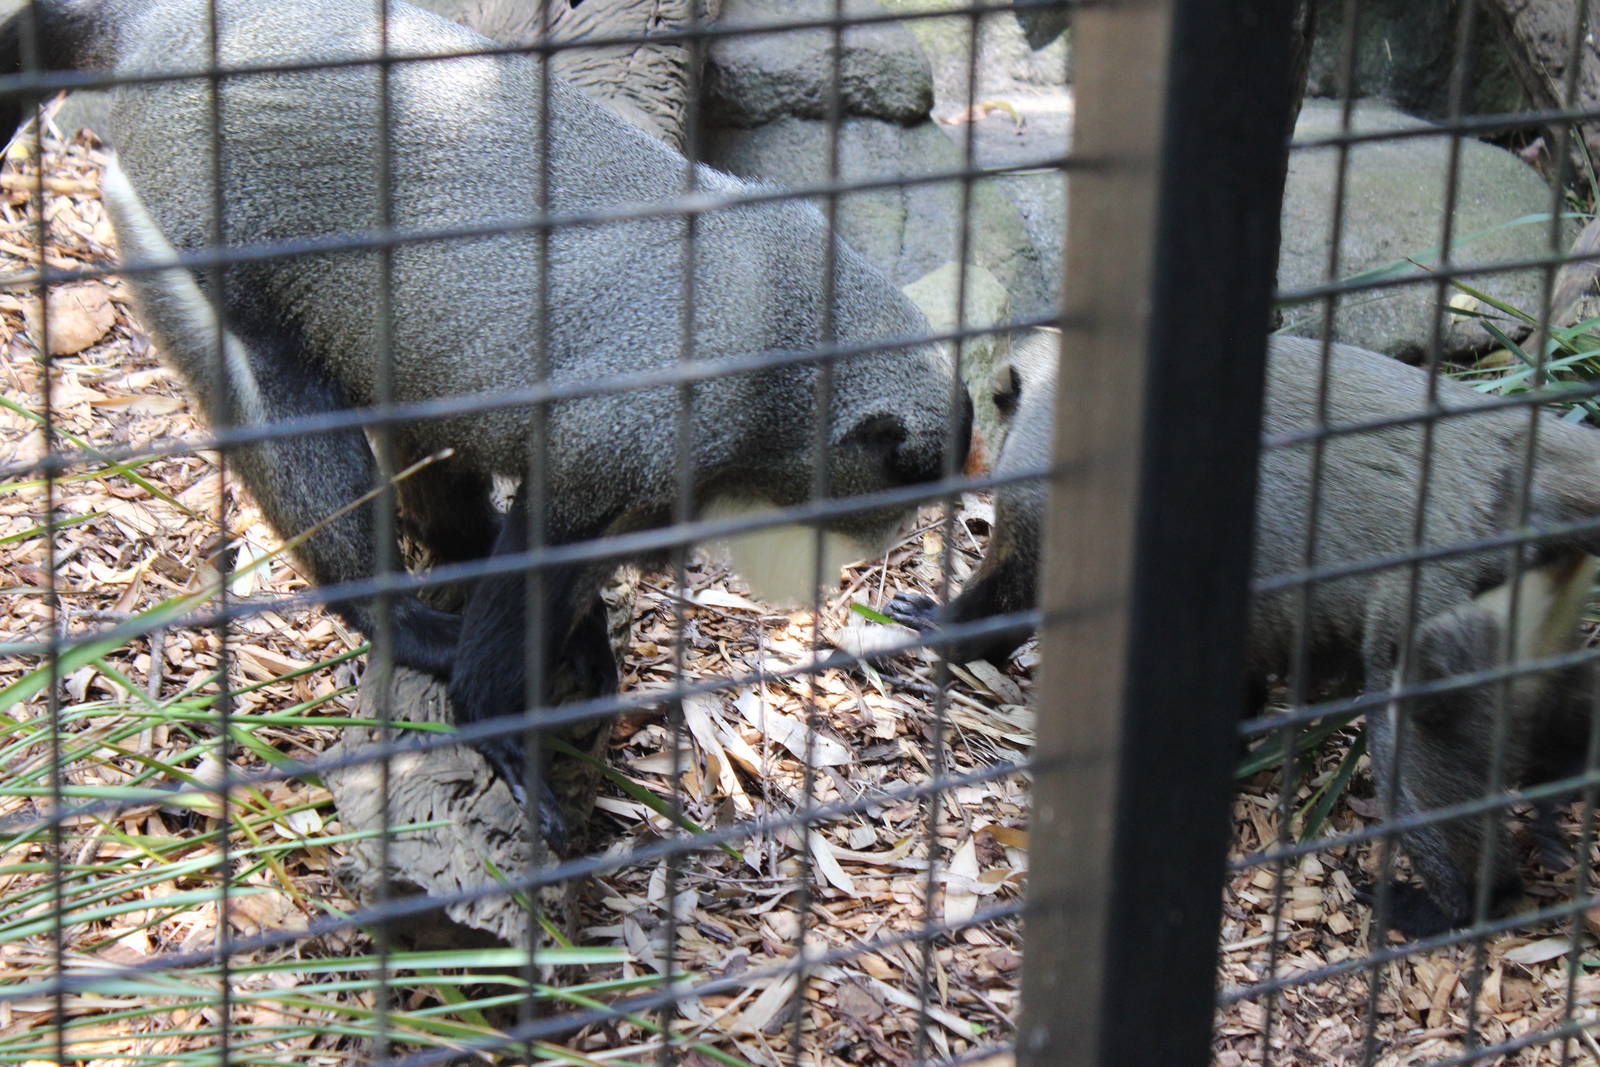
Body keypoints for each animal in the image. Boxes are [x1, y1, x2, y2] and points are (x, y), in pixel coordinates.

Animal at [0, 0, 971, 845]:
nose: (848, 559)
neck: (786, 334)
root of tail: (163, 28)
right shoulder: (633, 433)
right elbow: (544, 545)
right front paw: (494, 714)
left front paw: (583, 645)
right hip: (188, 221)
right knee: (279, 388)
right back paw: (393, 616)